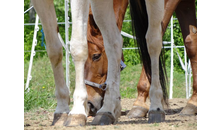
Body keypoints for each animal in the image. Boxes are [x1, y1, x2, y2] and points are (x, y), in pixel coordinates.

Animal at [31, 0, 167, 126]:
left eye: (96, 56)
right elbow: (54, 50)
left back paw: (156, 107)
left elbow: (78, 47)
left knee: (153, 40)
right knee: (114, 42)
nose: (90, 105)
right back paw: (107, 110)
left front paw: (77, 111)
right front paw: (61, 110)